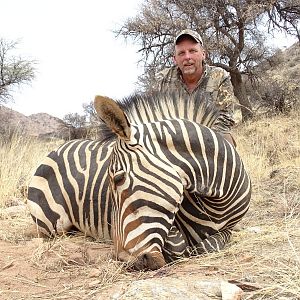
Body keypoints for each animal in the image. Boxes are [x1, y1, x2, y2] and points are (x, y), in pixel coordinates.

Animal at [27, 91, 251, 270]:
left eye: (118, 179)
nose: (123, 260)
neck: (217, 204)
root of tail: (57, 149)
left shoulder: (229, 228)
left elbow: (211, 244)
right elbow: (180, 245)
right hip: (54, 224)